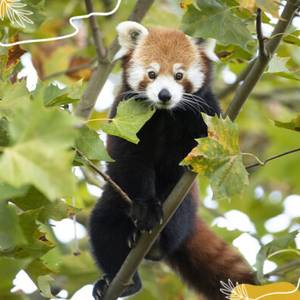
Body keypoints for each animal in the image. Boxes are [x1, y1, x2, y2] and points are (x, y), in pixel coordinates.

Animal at [89, 21, 255, 300]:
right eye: (152, 74)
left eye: (179, 75)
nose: (165, 95)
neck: (165, 115)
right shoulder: (126, 118)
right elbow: (131, 162)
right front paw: (146, 208)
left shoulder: (206, 114)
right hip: (114, 199)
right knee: (103, 225)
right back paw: (121, 280)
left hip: (185, 204)